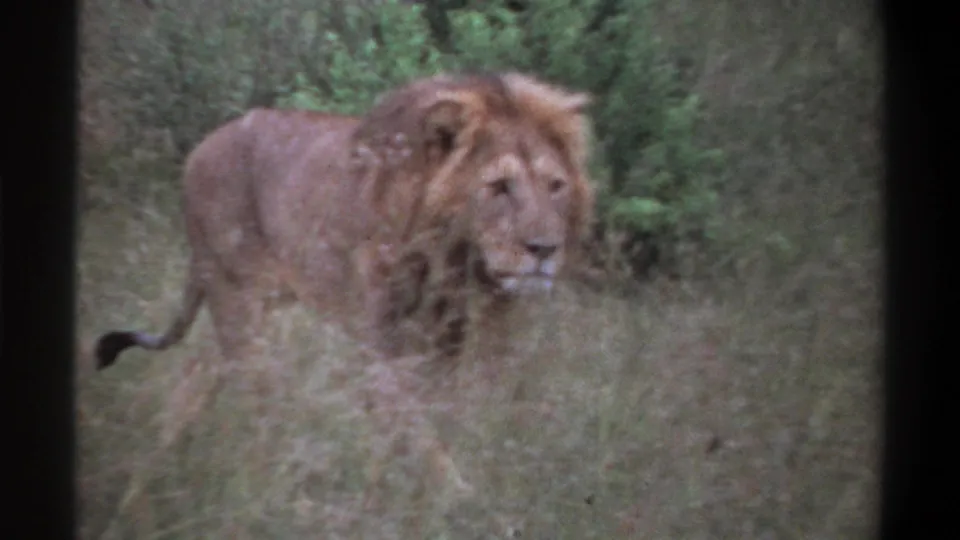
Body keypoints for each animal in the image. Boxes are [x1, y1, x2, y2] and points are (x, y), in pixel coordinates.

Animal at [94, 71, 595, 372]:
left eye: (555, 186)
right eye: (499, 187)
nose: (545, 249)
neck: (452, 256)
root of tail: (197, 151)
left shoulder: (443, 341)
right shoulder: (380, 344)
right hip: (237, 303)